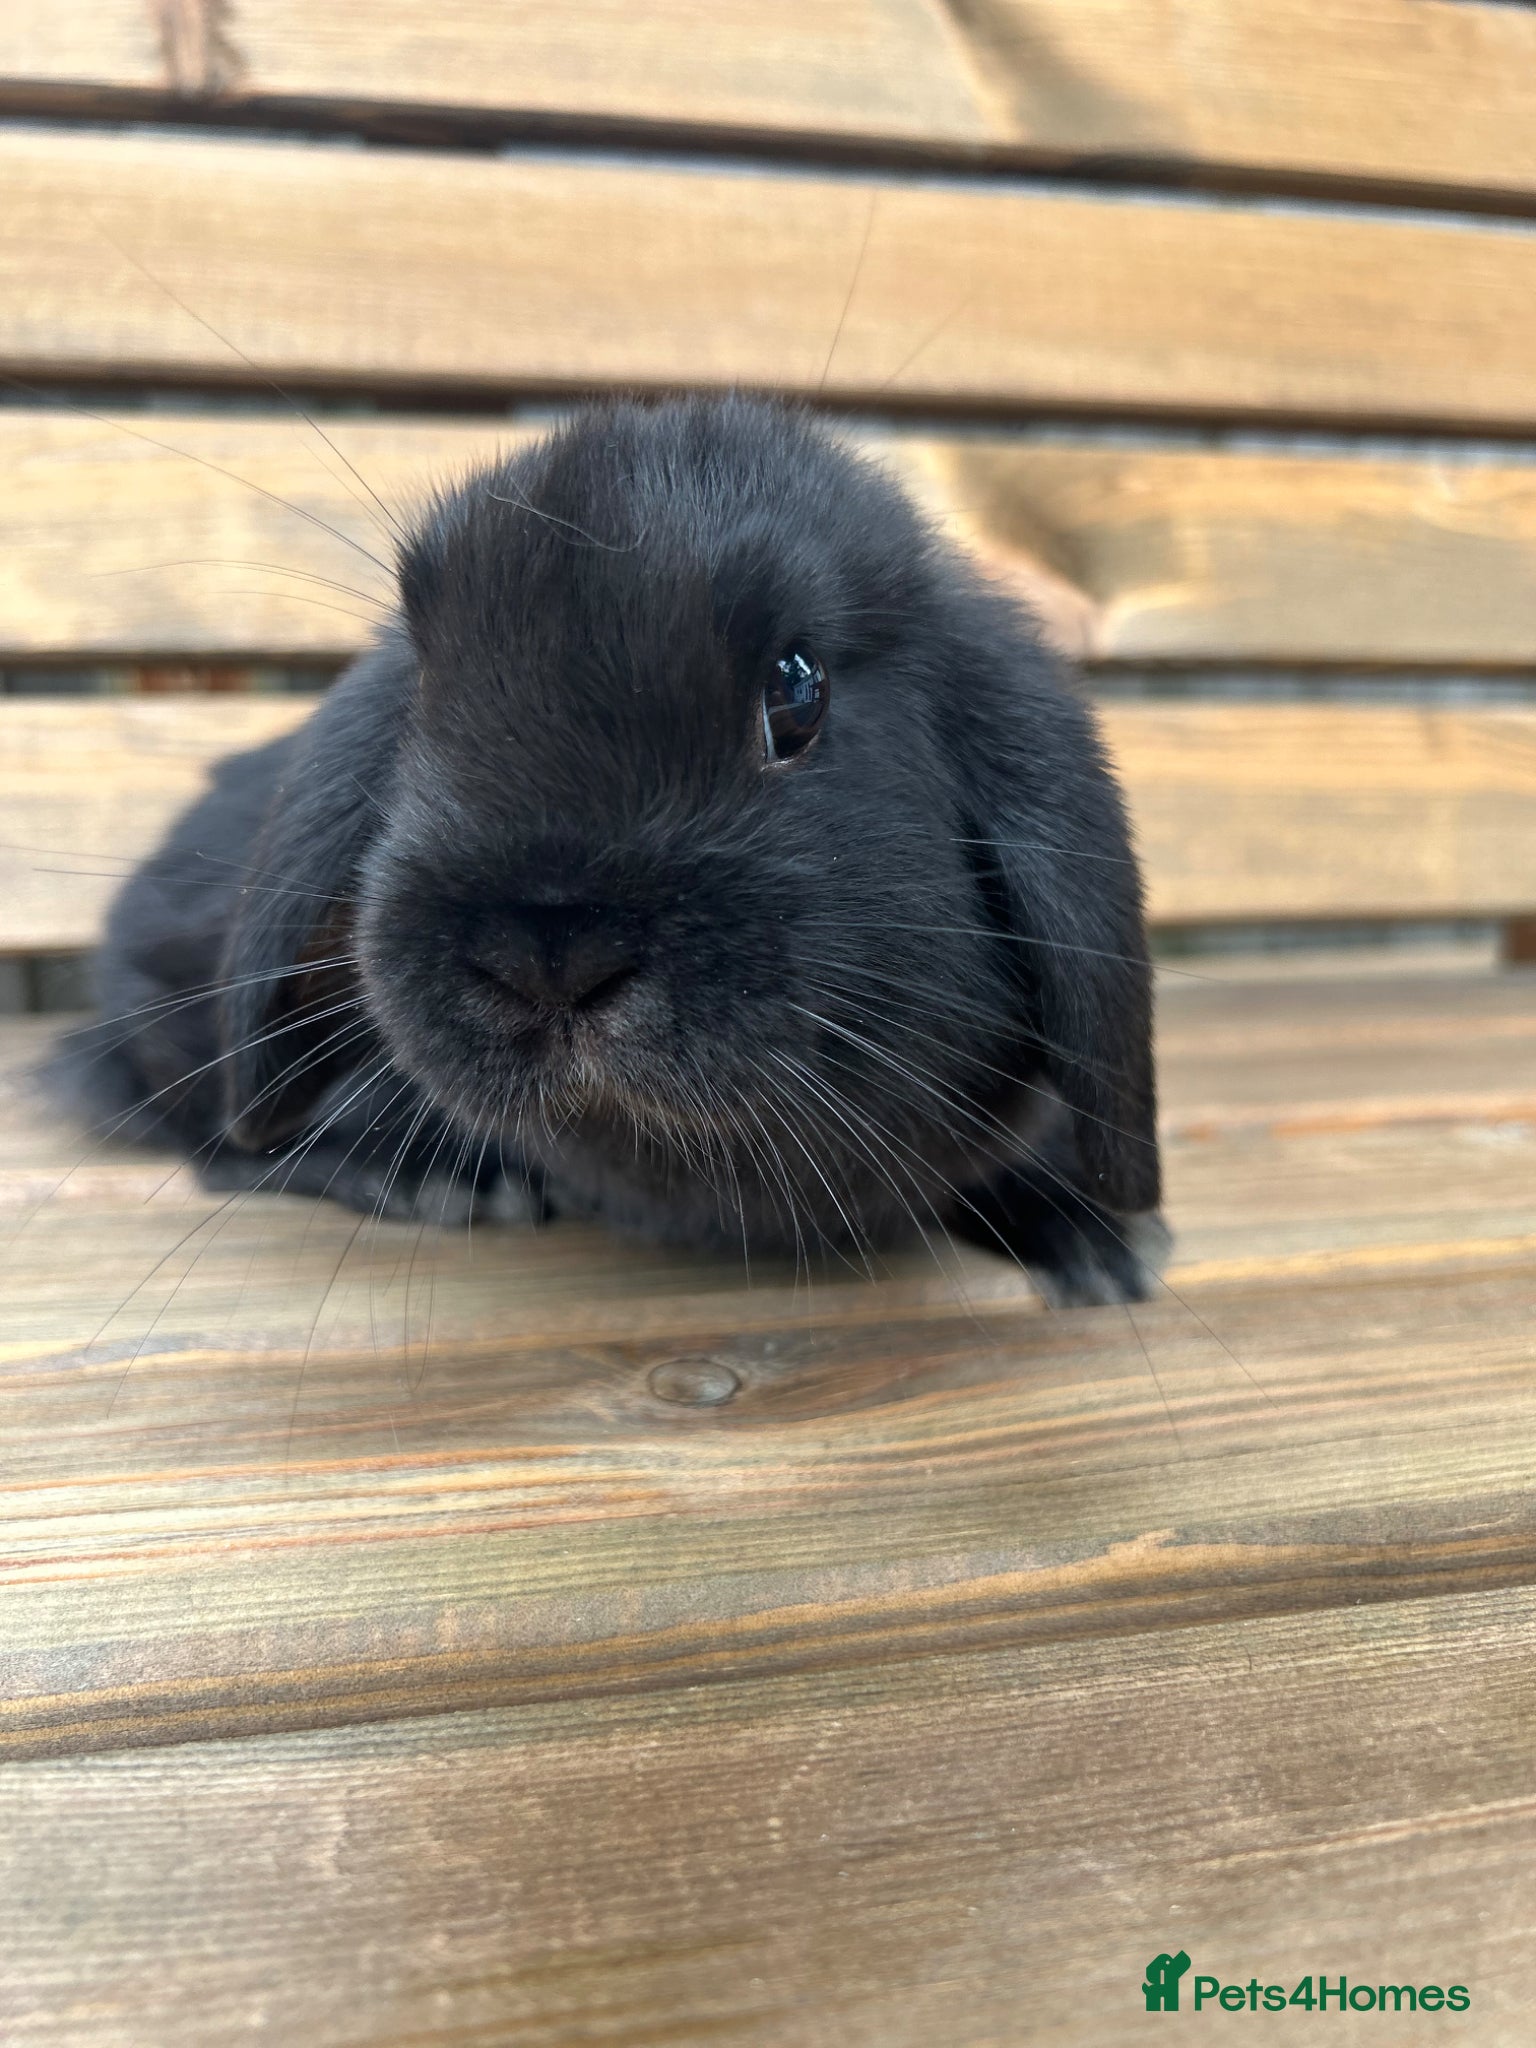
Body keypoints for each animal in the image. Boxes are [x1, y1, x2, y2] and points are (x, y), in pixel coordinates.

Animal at [52, 393, 1167, 1306]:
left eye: (796, 689)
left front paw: (1105, 1246)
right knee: (219, 1147)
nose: (550, 954)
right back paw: (425, 1180)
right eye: (426, 698)